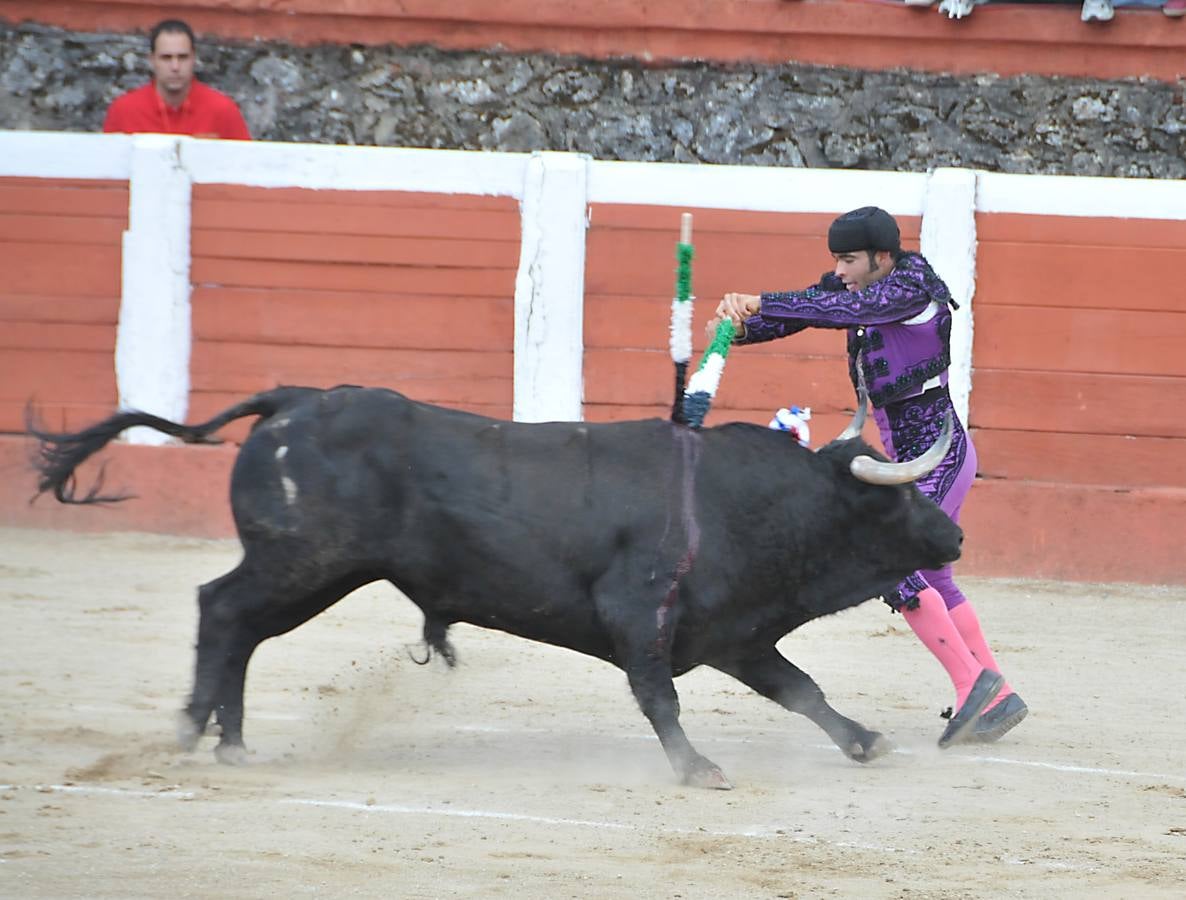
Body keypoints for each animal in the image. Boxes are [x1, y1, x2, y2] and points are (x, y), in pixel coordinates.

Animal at [30, 386, 963, 787]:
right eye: (899, 495)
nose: (955, 535)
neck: (752, 500)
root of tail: (298, 399)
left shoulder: (732, 634)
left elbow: (801, 689)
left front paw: (864, 741)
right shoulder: (641, 613)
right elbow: (660, 697)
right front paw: (698, 768)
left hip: (314, 573)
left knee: (242, 629)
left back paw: (231, 741)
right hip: (302, 563)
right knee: (220, 610)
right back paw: (193, 734)